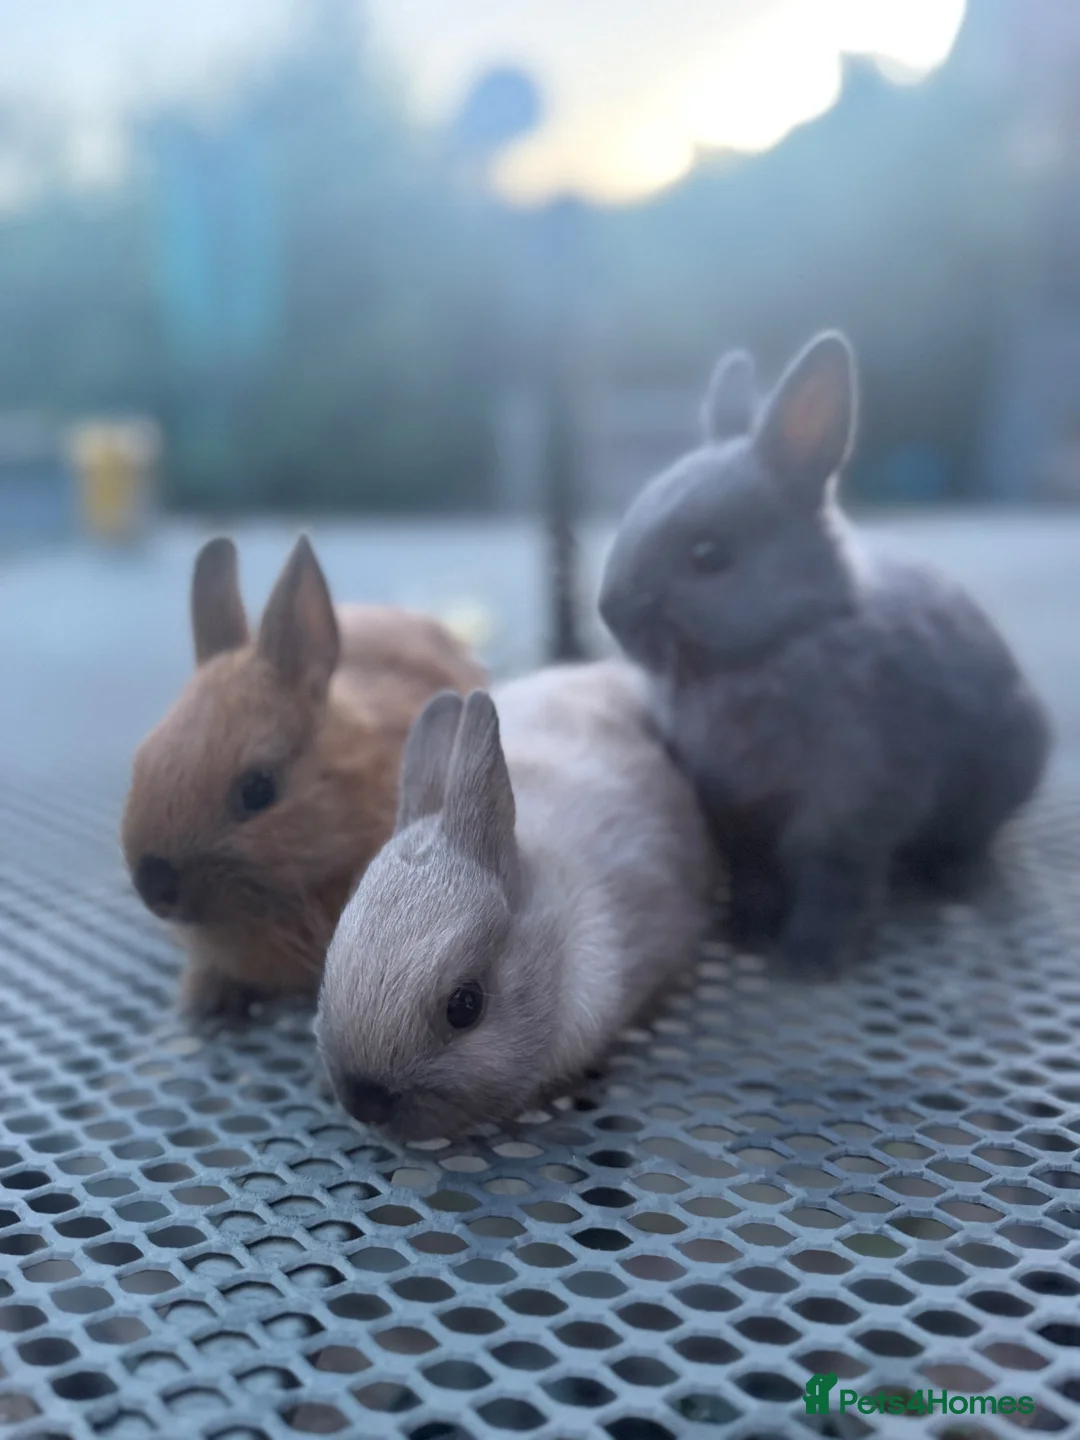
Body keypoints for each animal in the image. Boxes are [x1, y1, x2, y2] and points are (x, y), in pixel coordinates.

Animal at [597, 330, 1052, 975]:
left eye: (710, 554)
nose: (609, 610)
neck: (781, 642)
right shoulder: (735, 810)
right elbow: (753, 869)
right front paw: (746, 932)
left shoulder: (850, 806)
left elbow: (829, 873)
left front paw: (808, 959)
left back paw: (953, 877)